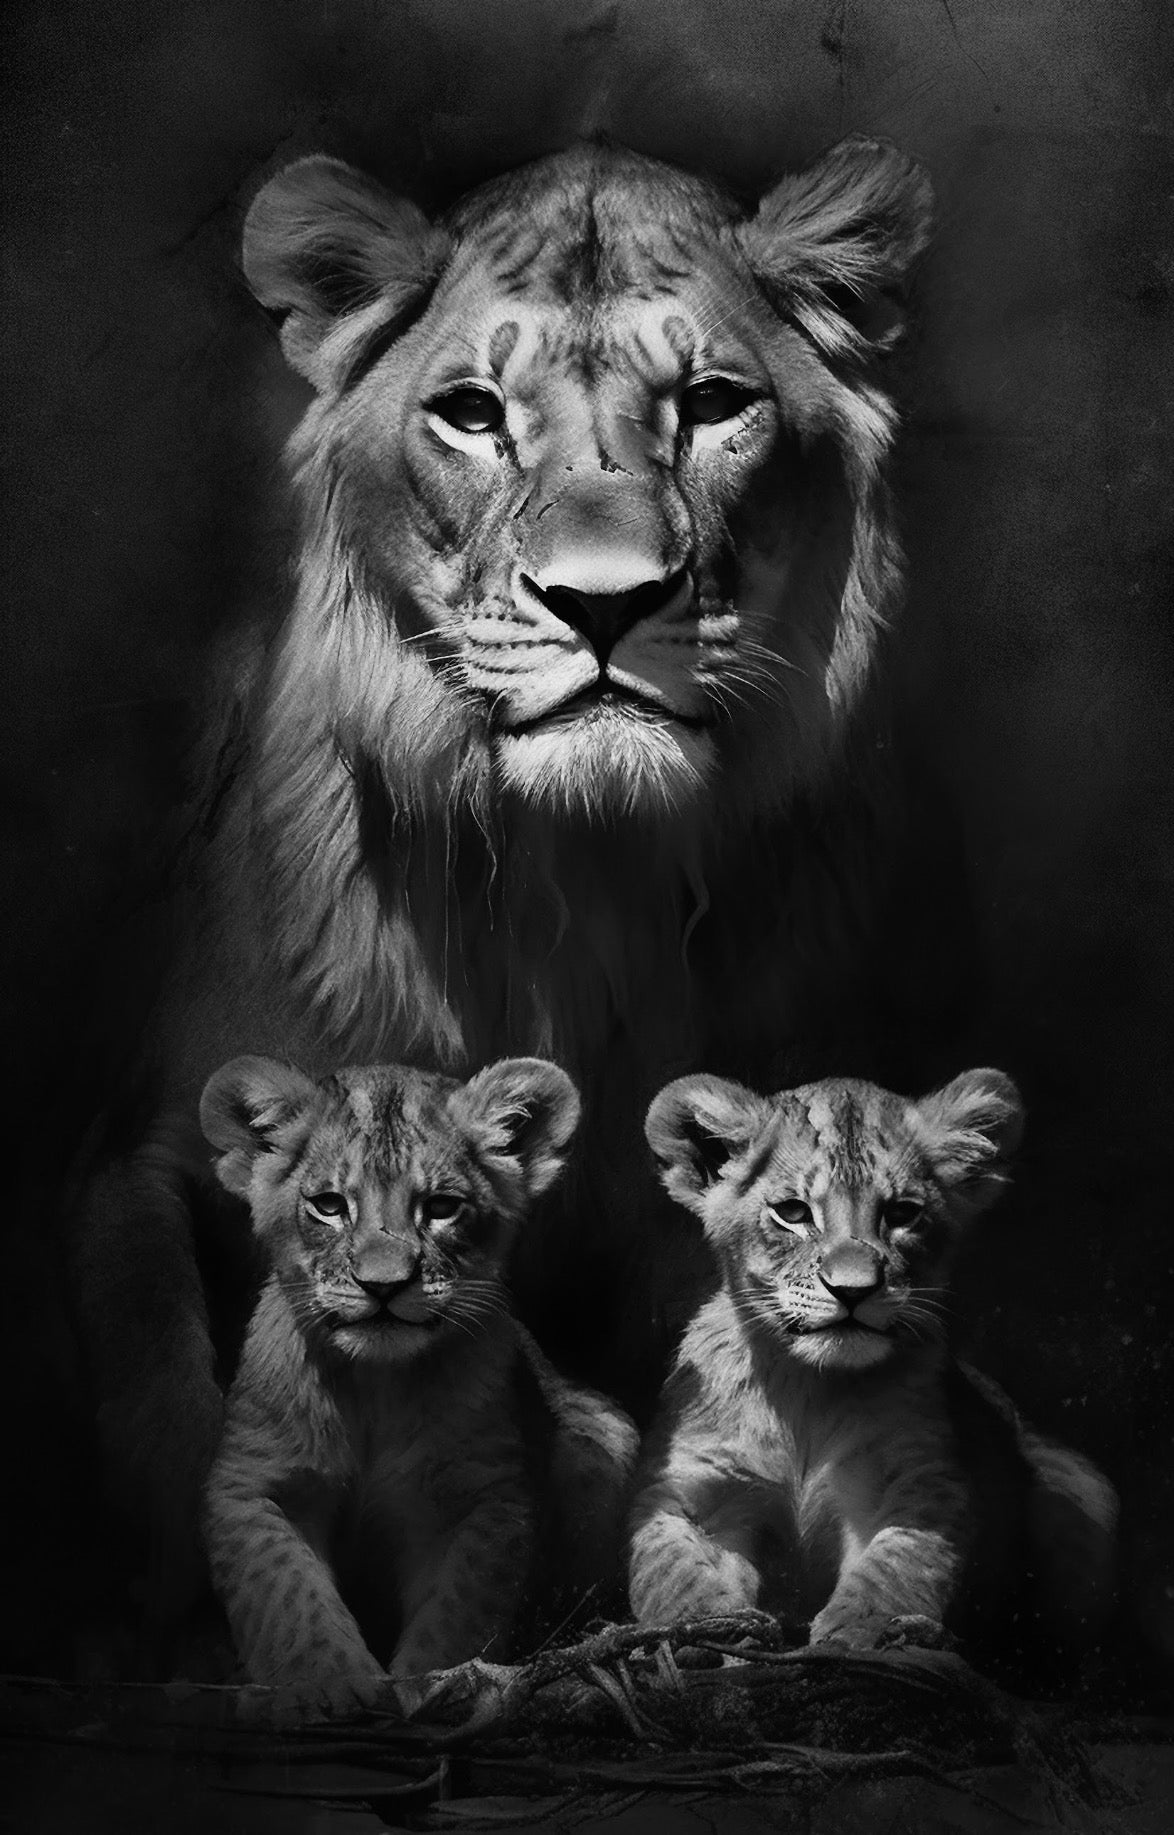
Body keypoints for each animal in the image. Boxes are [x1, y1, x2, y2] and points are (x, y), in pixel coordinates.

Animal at [68, 135, 935, 1653]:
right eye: (472, 414)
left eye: (713, 403)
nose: (603, 603)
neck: (570, 881)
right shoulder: (147, 1149)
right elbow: (162, 1367)